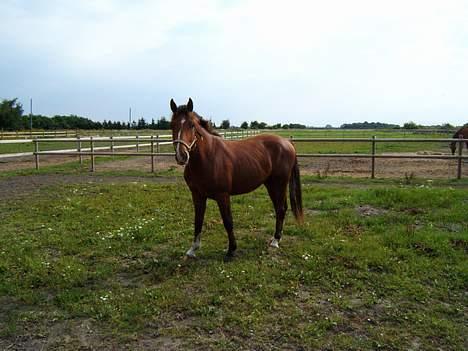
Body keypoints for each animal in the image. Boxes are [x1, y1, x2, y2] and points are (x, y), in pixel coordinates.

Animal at [169, 98, 304, 262]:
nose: (181, 156)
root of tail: (287, 142)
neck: (207, 157)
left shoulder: (223, 195)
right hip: (271, 185)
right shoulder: (197, 195)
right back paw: (275, 239)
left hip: (279, 184)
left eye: (192, 125)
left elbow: (228, 221)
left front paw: (231, 250)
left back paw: (275, 241)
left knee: (281, 208)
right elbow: (198, 220)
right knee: (280, 208)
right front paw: (193, 249)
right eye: (172, 125)